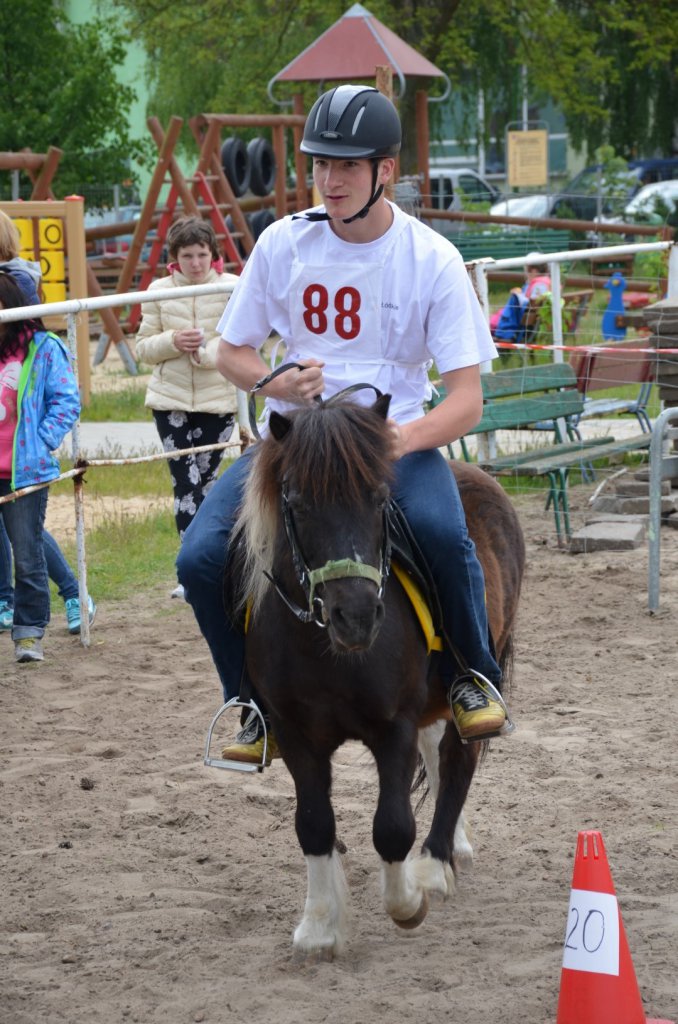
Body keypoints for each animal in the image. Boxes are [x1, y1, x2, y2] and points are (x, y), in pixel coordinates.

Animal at [233, 393, 524, 958]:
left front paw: (408, 901)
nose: (358, 616)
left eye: (379, 498)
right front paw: (319, 927)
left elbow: (392, 827)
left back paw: (435, 863)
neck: (326, 651)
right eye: (297, 503)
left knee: (460, 756)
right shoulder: (296, 735)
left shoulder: (394, 727)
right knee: (440, 753)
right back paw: (454, 843)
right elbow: (313, 824)